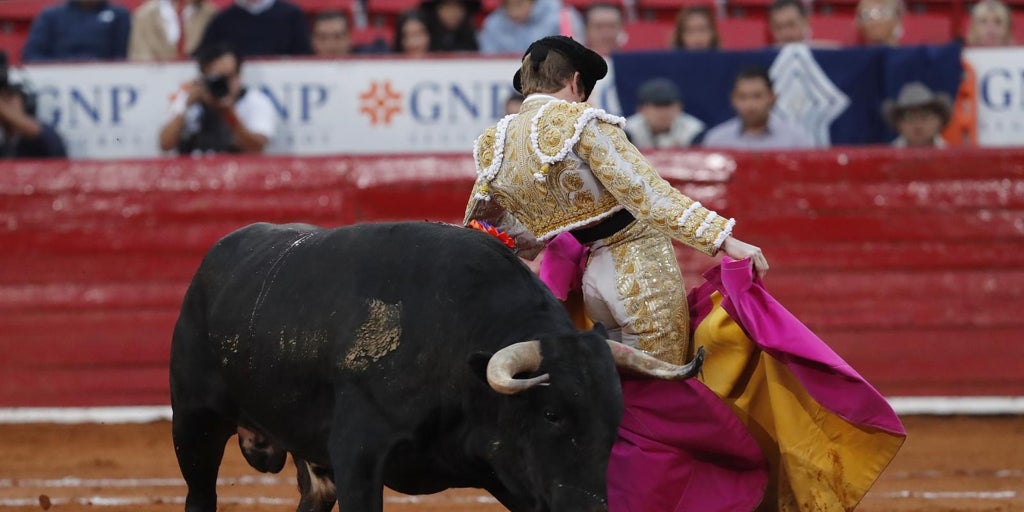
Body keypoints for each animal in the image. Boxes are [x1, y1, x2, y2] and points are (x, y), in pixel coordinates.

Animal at [172, 222, 704, 512]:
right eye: (552, 414)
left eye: (616, 419)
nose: (589, 508)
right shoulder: (358, 455)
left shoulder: (510, 474)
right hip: (194, 422)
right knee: (200, 495)